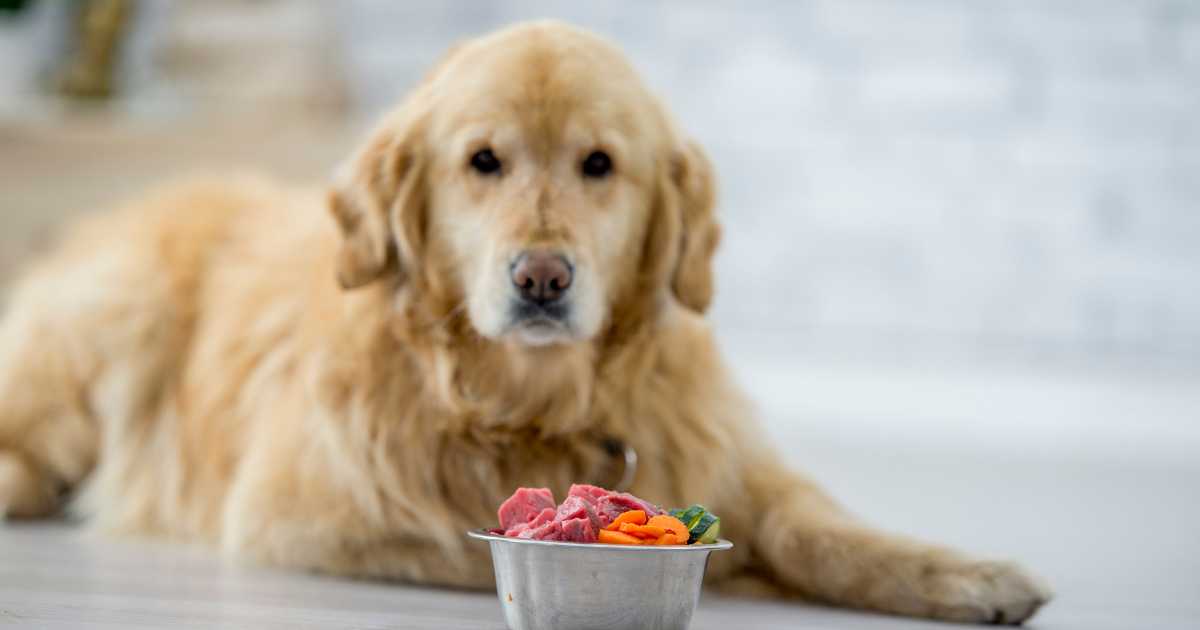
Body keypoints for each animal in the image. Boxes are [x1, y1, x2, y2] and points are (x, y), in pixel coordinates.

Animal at [0, 20, 1051, 624]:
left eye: (599, 164)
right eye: (483, 161)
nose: (541, 277)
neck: (533, 402)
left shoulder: (727, 454)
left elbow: (818, 525)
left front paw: (967, 574)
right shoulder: (303, 518)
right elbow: (479, 550)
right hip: (113, 320)